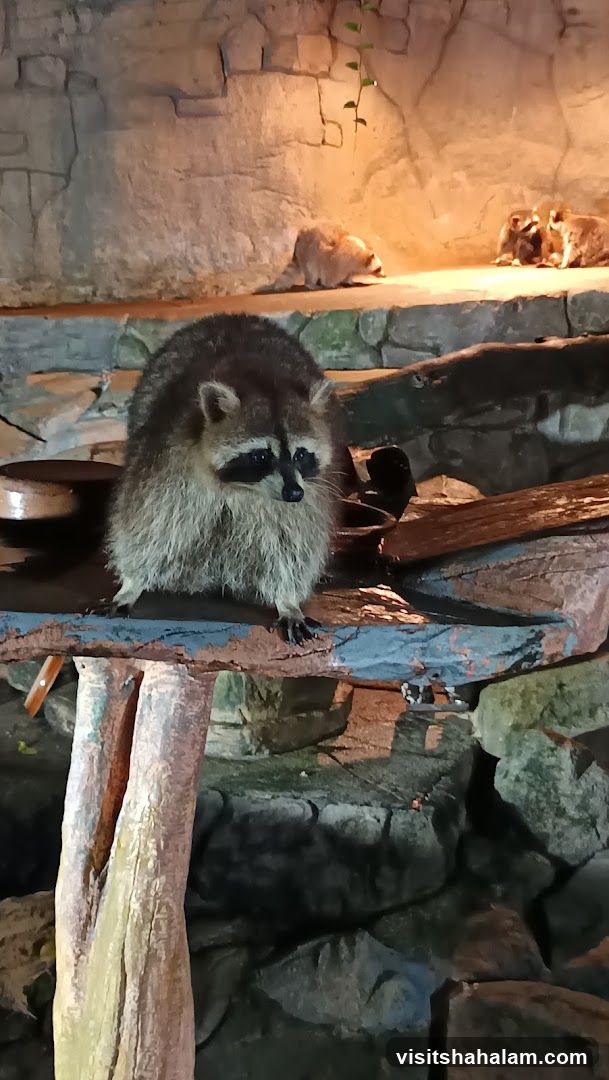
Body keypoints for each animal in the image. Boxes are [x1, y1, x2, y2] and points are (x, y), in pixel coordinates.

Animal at [106, 315, 343, 645]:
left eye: (300, 455)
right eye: (261, 456)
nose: (295, 494)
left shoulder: (311, 495)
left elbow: (294, 544)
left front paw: (287, 599)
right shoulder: (167, 463)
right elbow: (149, 526)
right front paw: (132, 581)